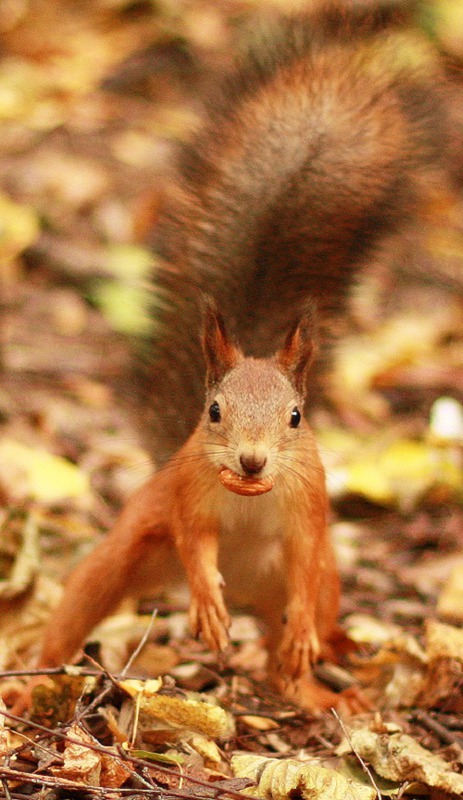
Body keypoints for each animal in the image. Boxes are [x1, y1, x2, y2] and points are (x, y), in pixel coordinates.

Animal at [26, 0, 456, 712]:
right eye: (214, 411)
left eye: (296, 417)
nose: (252, 462)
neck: (252, 498)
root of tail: (252, 594)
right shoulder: (189, 498)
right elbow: (198, 543)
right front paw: (205, 600)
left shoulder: (310, 511)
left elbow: (306, 555)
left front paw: (305, 638)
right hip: (128, 552)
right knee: (82, 601)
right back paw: (33, 677)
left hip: (315, 586)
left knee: (295, 640)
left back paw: (316, 683)